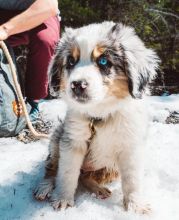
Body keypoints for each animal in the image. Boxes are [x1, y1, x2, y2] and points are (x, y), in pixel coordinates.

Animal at [34, 21, 159, 214]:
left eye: (103, 61)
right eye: (71, 61)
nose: (77, 85)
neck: (100, 115)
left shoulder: (130, 146)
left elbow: (132, 180)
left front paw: (135, 205)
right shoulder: (73, 141)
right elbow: (67, 173)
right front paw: (63, 199)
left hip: (110, 167)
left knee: (86, 177)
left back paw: (98, 189)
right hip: (56, 140)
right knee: (52, 168)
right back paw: (44, 187)